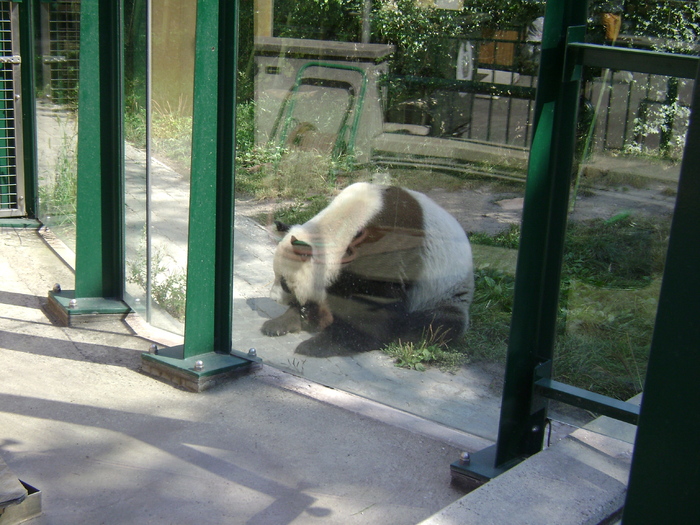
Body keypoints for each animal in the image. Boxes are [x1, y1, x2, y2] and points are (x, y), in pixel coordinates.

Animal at [262, 181, 476, 356]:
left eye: (285, 283)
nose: (274, 298)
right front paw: (284, 322)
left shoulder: (388, 249)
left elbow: (376, 306)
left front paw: (321, 344)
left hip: (444, 292)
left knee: (437, 322)